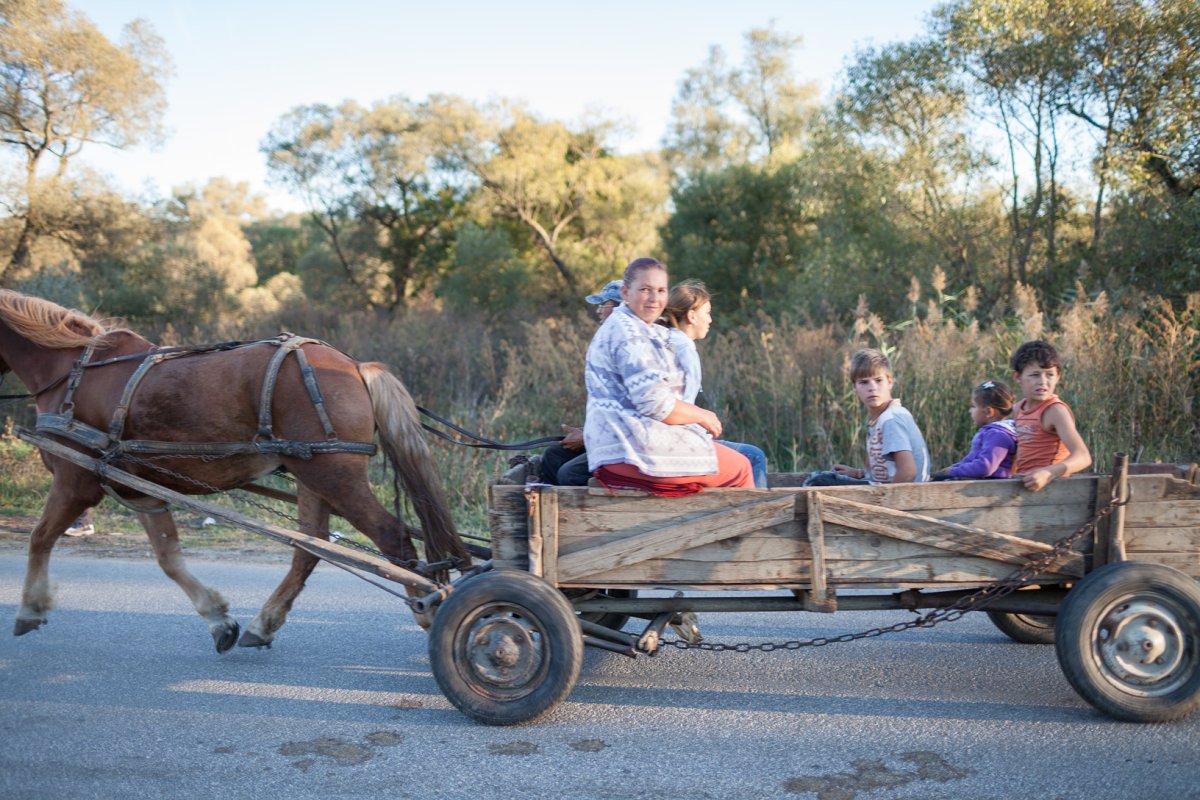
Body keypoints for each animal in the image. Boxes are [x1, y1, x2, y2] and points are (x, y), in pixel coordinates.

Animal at [0, 291, 468, 652]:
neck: (71, 370)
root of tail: (355, 367)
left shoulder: (74, 481)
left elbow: (39, 538)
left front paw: (29, 608)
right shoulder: (142, 490)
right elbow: (169, 558)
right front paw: (218, 620)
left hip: (335, 476)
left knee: (392, 537)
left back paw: (430, 608)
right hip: (312, 475)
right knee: (310, 548)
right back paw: (265, 623)